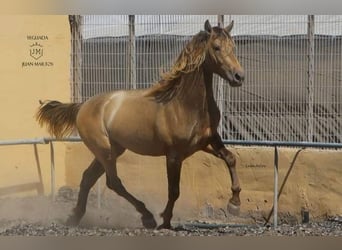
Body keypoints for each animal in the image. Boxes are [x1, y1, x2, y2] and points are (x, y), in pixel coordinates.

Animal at [36, 20, 244, 229]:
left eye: (233, 47)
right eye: (216, 47)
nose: (239, 77)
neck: (185, 104)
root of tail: (83, 106)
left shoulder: (207, 141)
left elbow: (231, 158)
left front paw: (234, 204)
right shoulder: (174, 154)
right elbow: (174, 190)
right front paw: (165, 221)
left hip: (113, 149)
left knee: (88, 177)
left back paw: (74, 217)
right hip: (104, 150)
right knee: (113, 182)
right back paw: (147, 216)